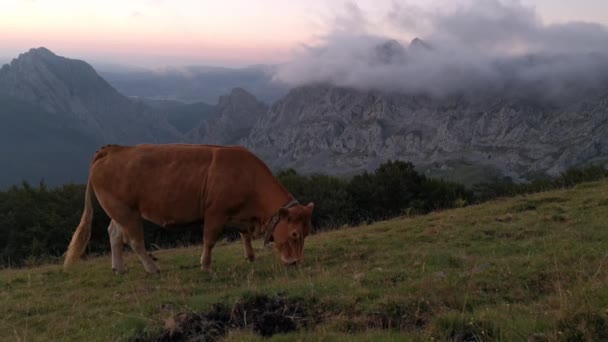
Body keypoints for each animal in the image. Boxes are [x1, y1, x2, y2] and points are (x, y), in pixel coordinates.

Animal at [63, 143, 314, 274]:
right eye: (294, 234)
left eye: (307, 233)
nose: (296, 262)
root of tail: (113, 149)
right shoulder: (215, 212)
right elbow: (209, 240)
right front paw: (206, 265)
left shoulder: (240, 215)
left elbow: (244, 235)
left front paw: (250, 256)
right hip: (125, 211)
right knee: (133, 240)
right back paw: (152, 268)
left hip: (121, 210)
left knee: (114, 234)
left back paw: (119, 268)